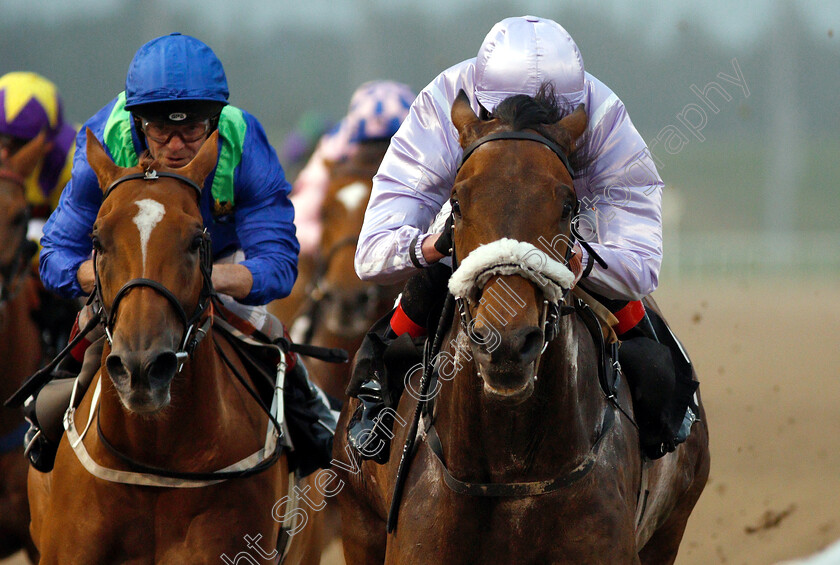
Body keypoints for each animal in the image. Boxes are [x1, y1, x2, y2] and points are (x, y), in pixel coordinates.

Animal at [334, 90, 708, 560]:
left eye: (568, 205)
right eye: (456, 203)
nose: (507, 343)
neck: (510, 469)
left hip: (670, 527)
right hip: (358, 525)